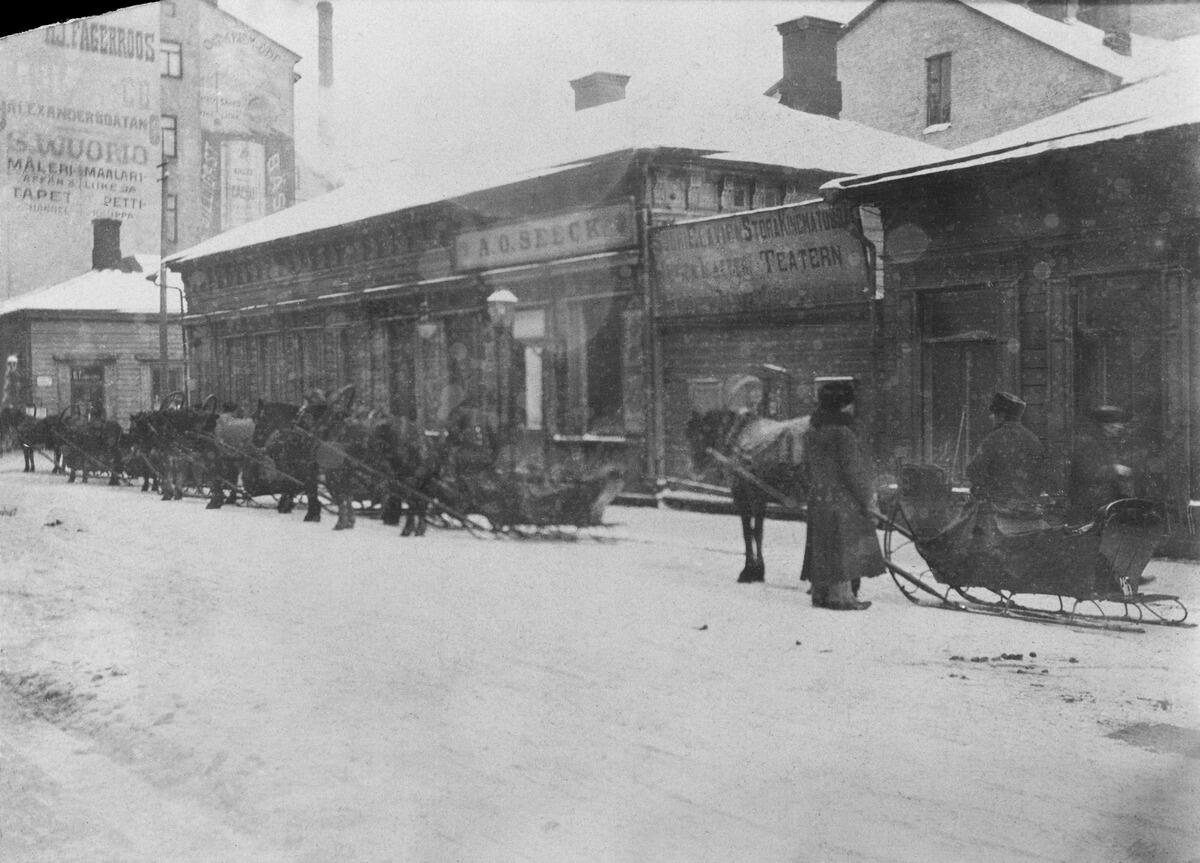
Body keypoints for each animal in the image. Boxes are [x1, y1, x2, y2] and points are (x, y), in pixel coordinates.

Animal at [691, 408, 811, 583]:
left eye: (700, 433)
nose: (694, 471)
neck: (738, 436)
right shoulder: (760, 497)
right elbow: (758, 532)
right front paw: (758, 571)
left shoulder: (744, 496)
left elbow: (749, 532)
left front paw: (749, 571)